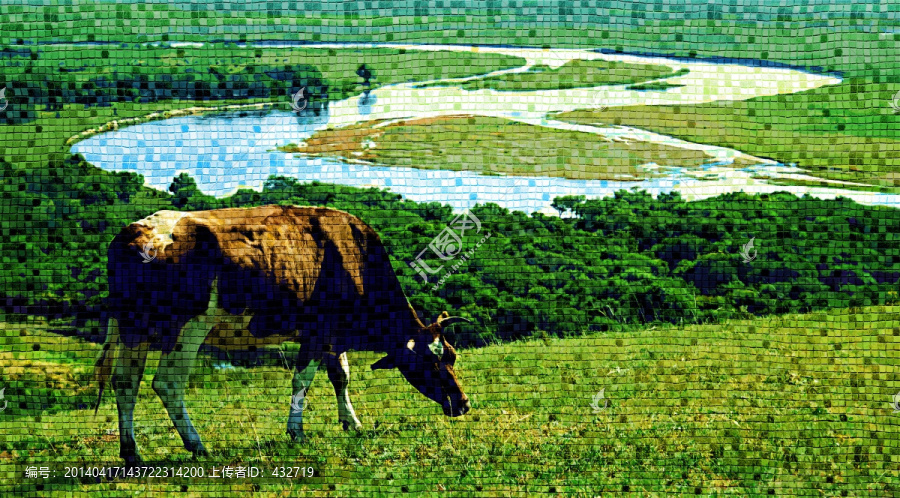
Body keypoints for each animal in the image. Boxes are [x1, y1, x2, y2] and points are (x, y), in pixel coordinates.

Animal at [93, 204, 472, 464]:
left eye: (452, 356)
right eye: (429, 363)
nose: (463, 403)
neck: (353, 255)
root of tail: (133, 232)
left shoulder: (331, 331)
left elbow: (341, 376)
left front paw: (351, 423)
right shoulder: (316, 330)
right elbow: (302, 379)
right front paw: (296, 432)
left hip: (133, 328)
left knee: (125, 382)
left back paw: (132, 453)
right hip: (188, 327)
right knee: (167, 383)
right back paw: (198, 445)